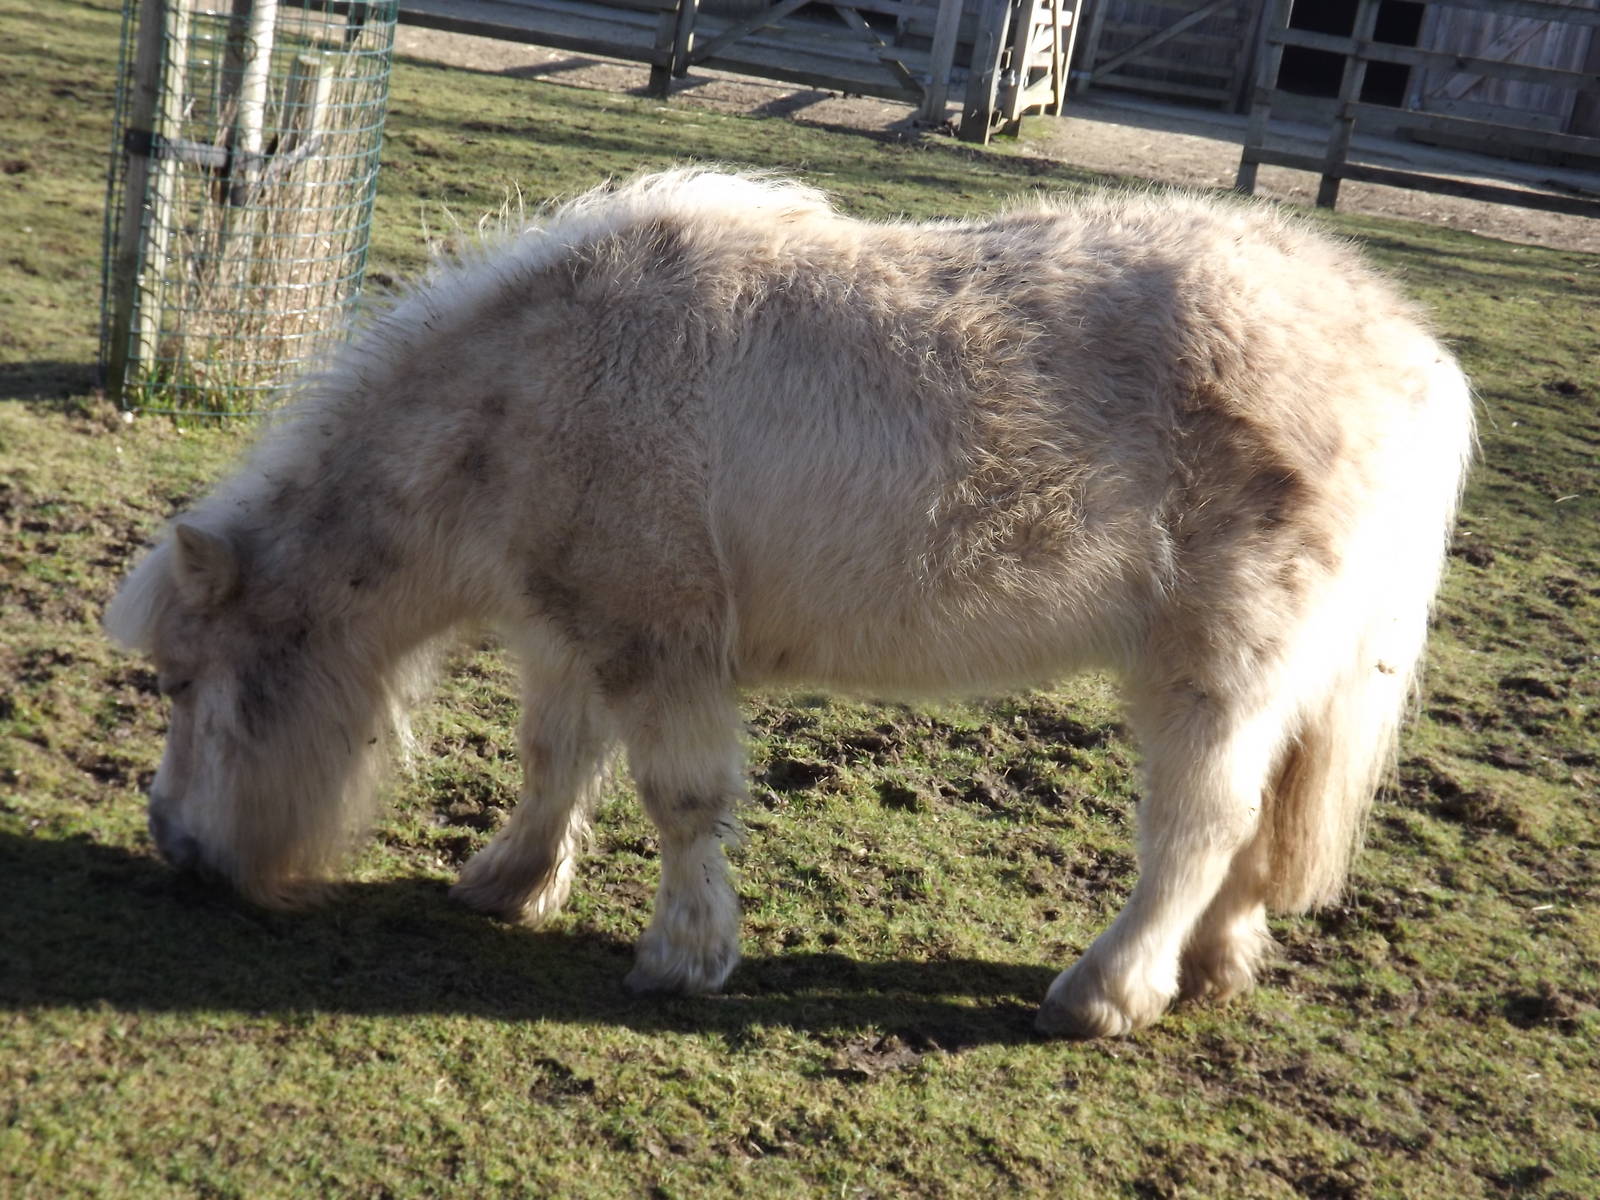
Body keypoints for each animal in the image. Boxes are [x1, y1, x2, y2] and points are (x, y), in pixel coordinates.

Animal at [106, 169, 1473, 1037]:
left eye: (179, 681)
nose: (174, 849)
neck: (525, 400)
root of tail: (1409, 349)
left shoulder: (658, 639)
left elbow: (679, 800)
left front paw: (683, 956)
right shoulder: (572, 632)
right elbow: (556, 759)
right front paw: (510, 882)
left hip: (1215, 662)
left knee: (1200, 822)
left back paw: (1108, 992)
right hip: (1289, 675)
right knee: (1256, 821)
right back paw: (1216, 965)